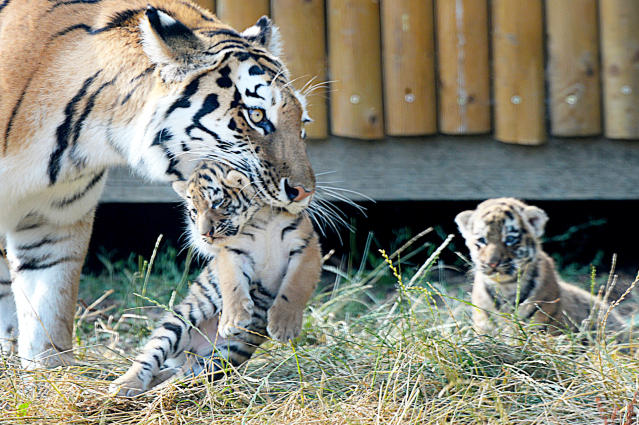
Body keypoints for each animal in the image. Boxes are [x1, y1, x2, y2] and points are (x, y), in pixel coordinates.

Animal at [0, 0, 316, 368]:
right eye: (257, 116)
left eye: (302, 122)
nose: (304, 192)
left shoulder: (52, 224)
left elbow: (47, 320)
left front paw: (50, 378)